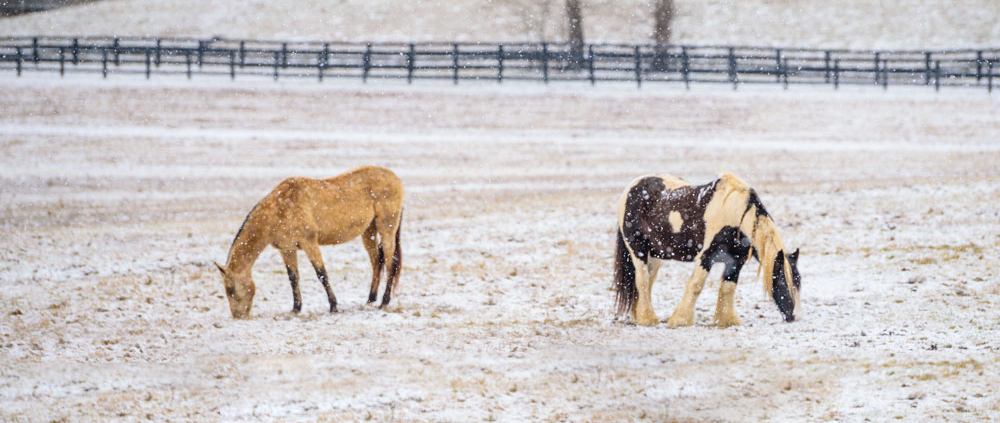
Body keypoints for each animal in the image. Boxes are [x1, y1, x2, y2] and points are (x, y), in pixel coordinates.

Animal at [217, 166, 404, 318]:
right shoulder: (287, 249)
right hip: (368, 232)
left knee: (390, 262)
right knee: (376, 261)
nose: (238, 316)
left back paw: (384, 301)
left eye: (230, 290)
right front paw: (296, 308)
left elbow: (321, 274)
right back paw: (371, 299)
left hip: (386, 228)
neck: (279, 208)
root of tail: (396, 179)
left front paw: (333, 306)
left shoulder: (309, 243)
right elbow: (293, 277)